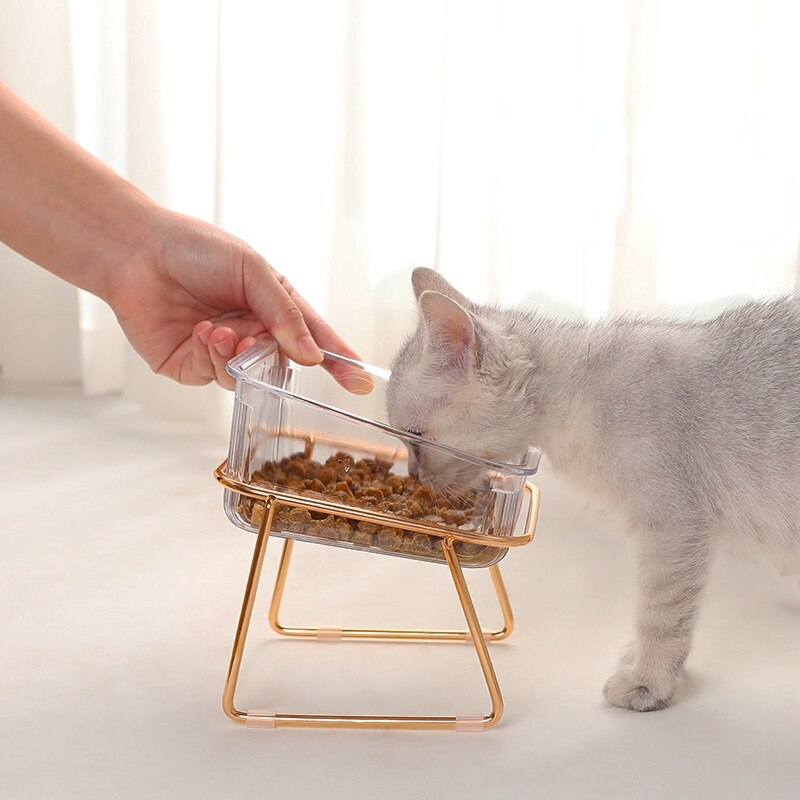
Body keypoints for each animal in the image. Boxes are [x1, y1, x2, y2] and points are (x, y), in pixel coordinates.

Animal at [388, 268, 800, 712]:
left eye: (413, 437)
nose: (413, 475)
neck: (577, 391)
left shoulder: (674, 527)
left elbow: (661, 613)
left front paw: (648, 680)